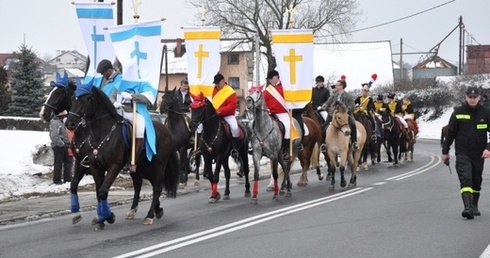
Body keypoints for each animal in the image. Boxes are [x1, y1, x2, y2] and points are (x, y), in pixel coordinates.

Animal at [64, 80, 180, 230]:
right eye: (73, 98)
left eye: (88, 99)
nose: (69, 123)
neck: (101, 133)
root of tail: (167, 131)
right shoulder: (95, 167)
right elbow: (98, 192)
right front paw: (101, 219)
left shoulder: (114, 166)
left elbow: (103, 191)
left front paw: (108, 217)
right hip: (140, 167)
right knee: (140, 185)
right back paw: (147, 210)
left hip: (158, 165)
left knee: (157, 187)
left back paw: (149, 216)